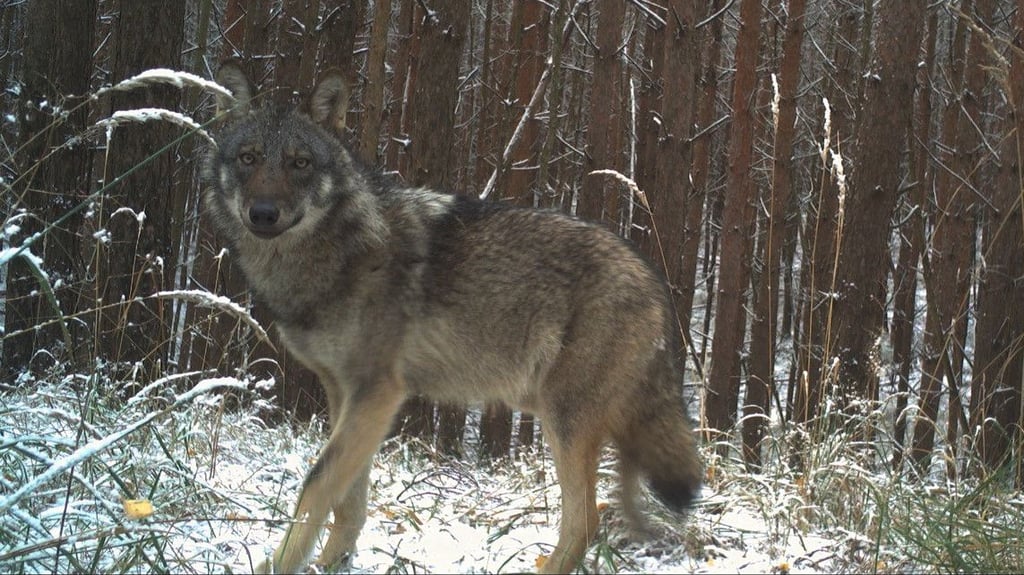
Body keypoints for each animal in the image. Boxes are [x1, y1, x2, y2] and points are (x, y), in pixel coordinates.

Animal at [204, 62, 703, 574]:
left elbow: (317, 483)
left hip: (564, 422)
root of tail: (654, 282)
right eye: (248, 158)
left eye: (299, 163)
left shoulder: (378, 393)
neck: (339, 253)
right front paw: (331, 563)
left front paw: (281, 564)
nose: (263, 214)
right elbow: (348, 500)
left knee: (585, 521)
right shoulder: (345, 393)